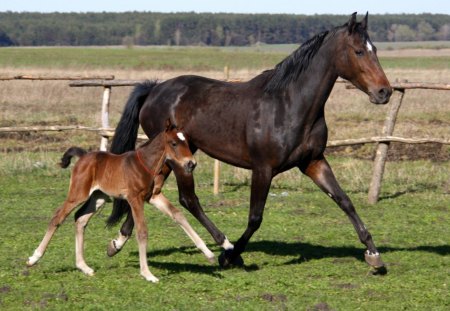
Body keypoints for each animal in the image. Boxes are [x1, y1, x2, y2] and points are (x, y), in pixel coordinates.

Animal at [28, 122, 214, 282]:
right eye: (173, 143)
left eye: (186, 142)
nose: (191, 164)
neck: (145, 164)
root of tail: (83, 156)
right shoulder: (134, 199)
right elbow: (142, 231)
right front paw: (147, 274)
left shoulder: (152, 197)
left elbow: (178, 215)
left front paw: (209, 254)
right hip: (78, 194)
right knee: (58, 217)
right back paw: (33, 258)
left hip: (98, 197)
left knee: (80, 218)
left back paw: (84, 267)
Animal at [107, 13, 392, 272]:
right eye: (358, 51)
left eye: (375, 49)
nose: (384, 92)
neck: (289, 105)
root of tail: (154, 90)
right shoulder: (263, 169)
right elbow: (255, 217)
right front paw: (231, 256)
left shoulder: (313, 162)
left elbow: (344, 201)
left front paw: (373, 255)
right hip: (179, 160)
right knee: (188, 199)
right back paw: (224, 244)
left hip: (175, 155)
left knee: (152, 190)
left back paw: (118, 241)